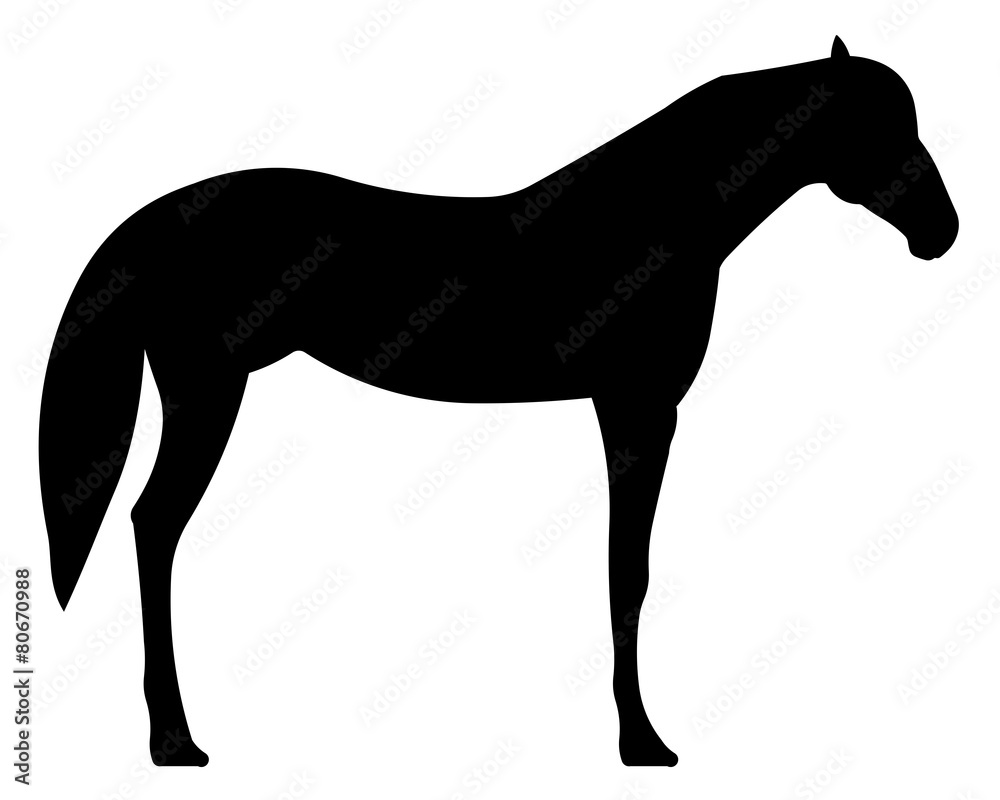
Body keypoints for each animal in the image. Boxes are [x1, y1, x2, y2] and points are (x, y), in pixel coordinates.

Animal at [39, 36, 958, 768]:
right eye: (876, 126)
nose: (941, 232)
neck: (653, 213)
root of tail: (158, 217)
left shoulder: (627, 408)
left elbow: (625, 571)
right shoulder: (637, 406)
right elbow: (628, 572)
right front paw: (642, 745)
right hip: (209, 390)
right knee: (155, 525)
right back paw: (174, 743)